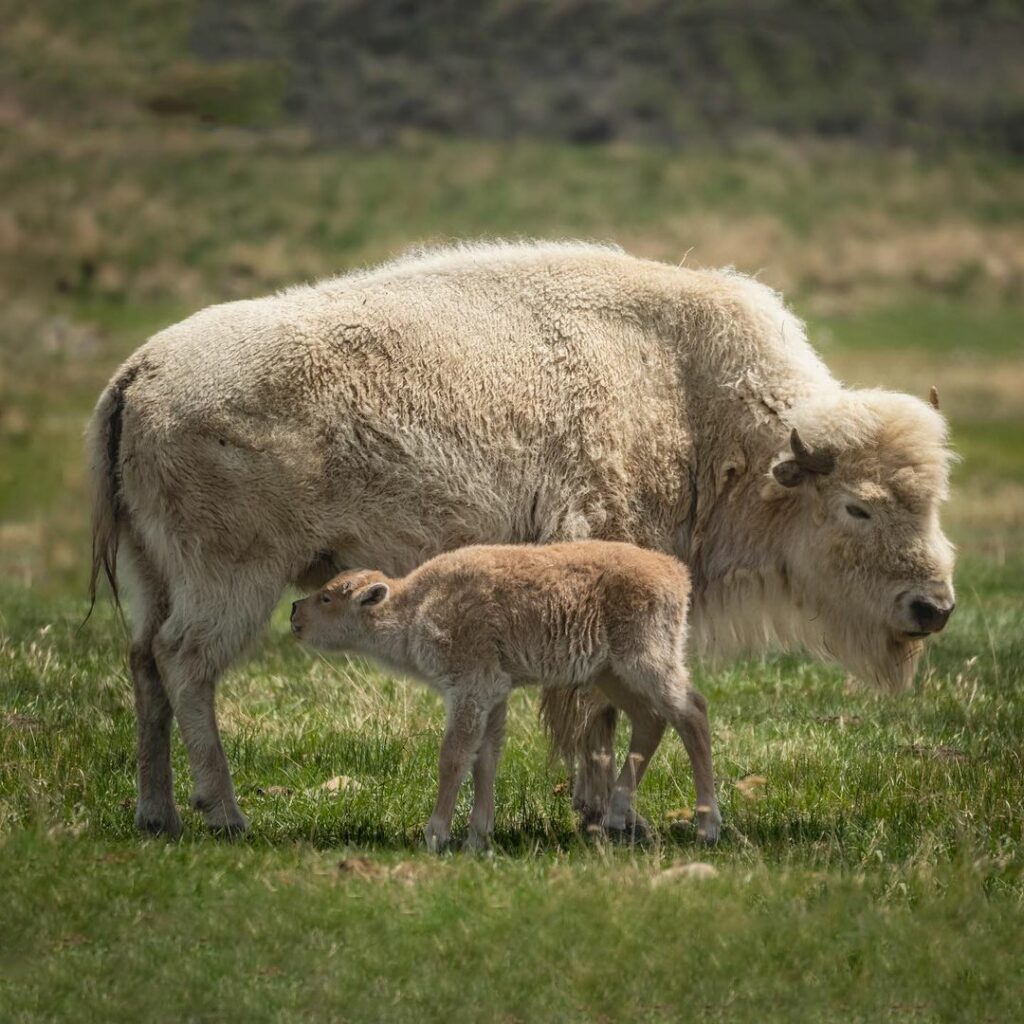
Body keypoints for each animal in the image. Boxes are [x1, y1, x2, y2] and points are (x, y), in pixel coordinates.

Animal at [288, 540, 720, 851]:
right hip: (613, 674)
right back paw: (616, 815)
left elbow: (454, 757)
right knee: (652, 721)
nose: (294, 612)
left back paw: (708, 826)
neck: (416, 608)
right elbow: (486, 759)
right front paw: (478, 838)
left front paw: (436, 834)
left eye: (327, 597)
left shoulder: (470, 688)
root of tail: (676, 572)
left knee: (692, 713)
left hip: (645, 662)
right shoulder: (493, 694)